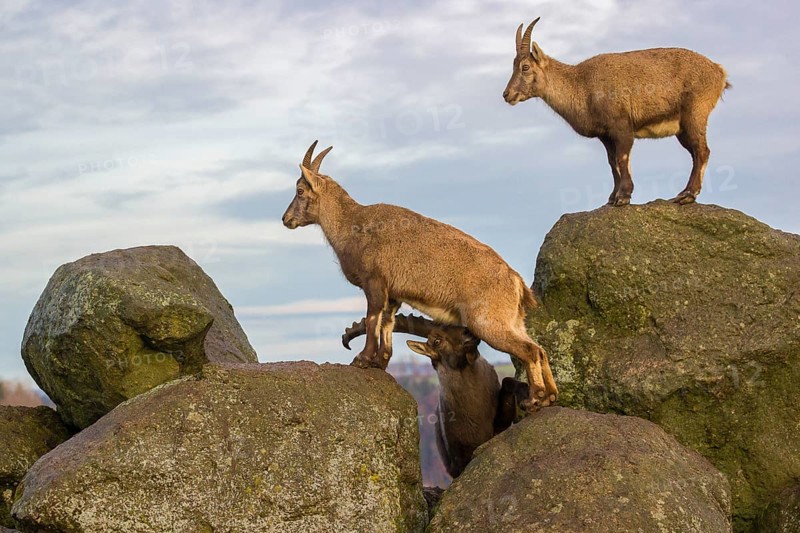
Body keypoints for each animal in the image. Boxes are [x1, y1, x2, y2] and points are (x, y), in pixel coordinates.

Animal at [282, 141, 557, 410]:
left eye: (300, 191)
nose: (286, 219)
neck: (351, 225)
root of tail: (516, 282)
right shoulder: (393, 294)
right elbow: (387, 324)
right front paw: (380, 363)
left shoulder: (375, 282)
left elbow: (372, 319)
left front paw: (362, 359)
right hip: (513, 321)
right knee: (540, 350)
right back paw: (550, 396)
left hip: (488, 321)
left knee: (530, 351)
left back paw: (535, 399)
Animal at [343, 314, 530, 477]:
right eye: (437, 341)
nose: (469, 332)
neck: (475, 408)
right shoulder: (459, 458)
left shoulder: (498, 427)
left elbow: (507, 381)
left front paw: (526, 394)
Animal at [503, 18, 729, 206]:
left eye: (525, 67)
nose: (507, 94)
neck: (581, 85)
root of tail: (719, 71)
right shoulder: (605, 135)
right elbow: (613, 163)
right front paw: (612, 197)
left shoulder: (621, 127)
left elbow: (622, 158)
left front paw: (623, 197)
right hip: (682, 128)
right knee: (696, 152)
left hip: (695, 114)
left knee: (702, 151)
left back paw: (688, 195)